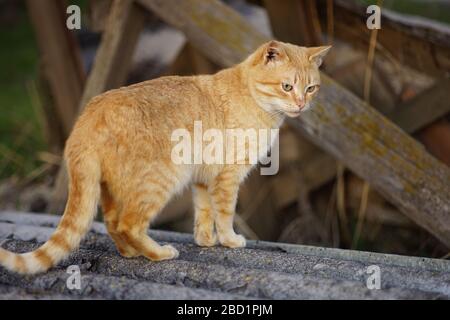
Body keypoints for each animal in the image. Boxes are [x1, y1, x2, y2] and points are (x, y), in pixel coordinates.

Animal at [0, 41, 330, 274]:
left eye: (311, 88)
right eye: (287, 87)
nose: (301, 104)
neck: (251, 96)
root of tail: (88, 116)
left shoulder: (202, 178)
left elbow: (203, 211)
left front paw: (205, 240)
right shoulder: (227, 177)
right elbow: (224, 214)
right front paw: (229, 240)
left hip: (111, 188)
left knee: (112, 223)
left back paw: (132, 253)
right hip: (160, 181)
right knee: (129, 224)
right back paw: (159, 253)